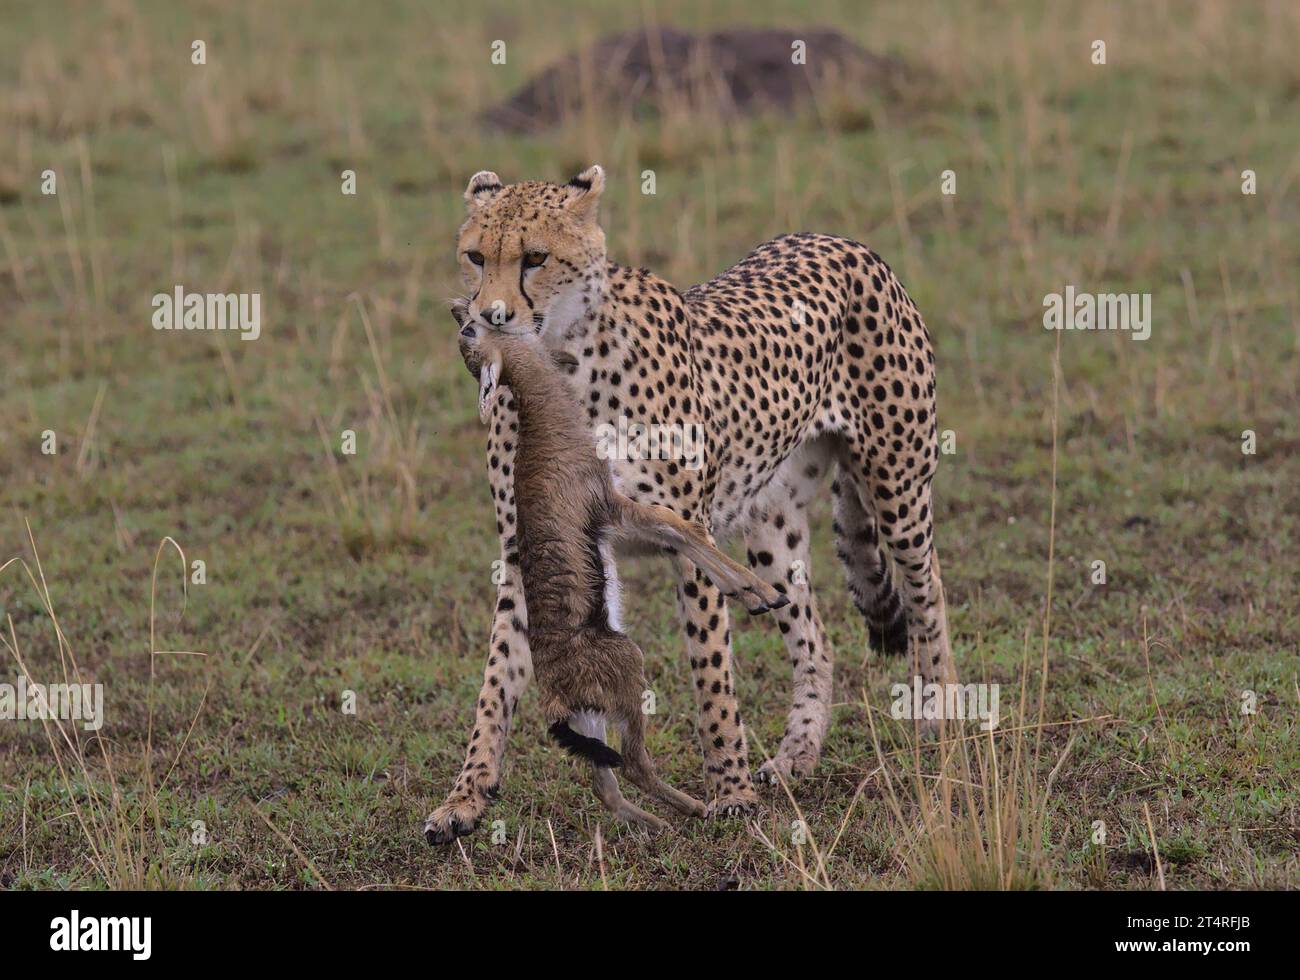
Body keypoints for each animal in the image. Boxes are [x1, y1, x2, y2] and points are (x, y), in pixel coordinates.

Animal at [423, 162, 956, 842]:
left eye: (534, 258)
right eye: (475, 256)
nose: (487, 318)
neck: (561, 363)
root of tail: (840, 239)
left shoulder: (678, 526)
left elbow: (711, 670)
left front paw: (730, 791)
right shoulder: (532, 542)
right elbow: (496, 679)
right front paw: (465, 796)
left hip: (897, 486)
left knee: (927, 594)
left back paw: (937, 717)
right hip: (772, 524)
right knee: (814, 637)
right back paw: (796, 754)